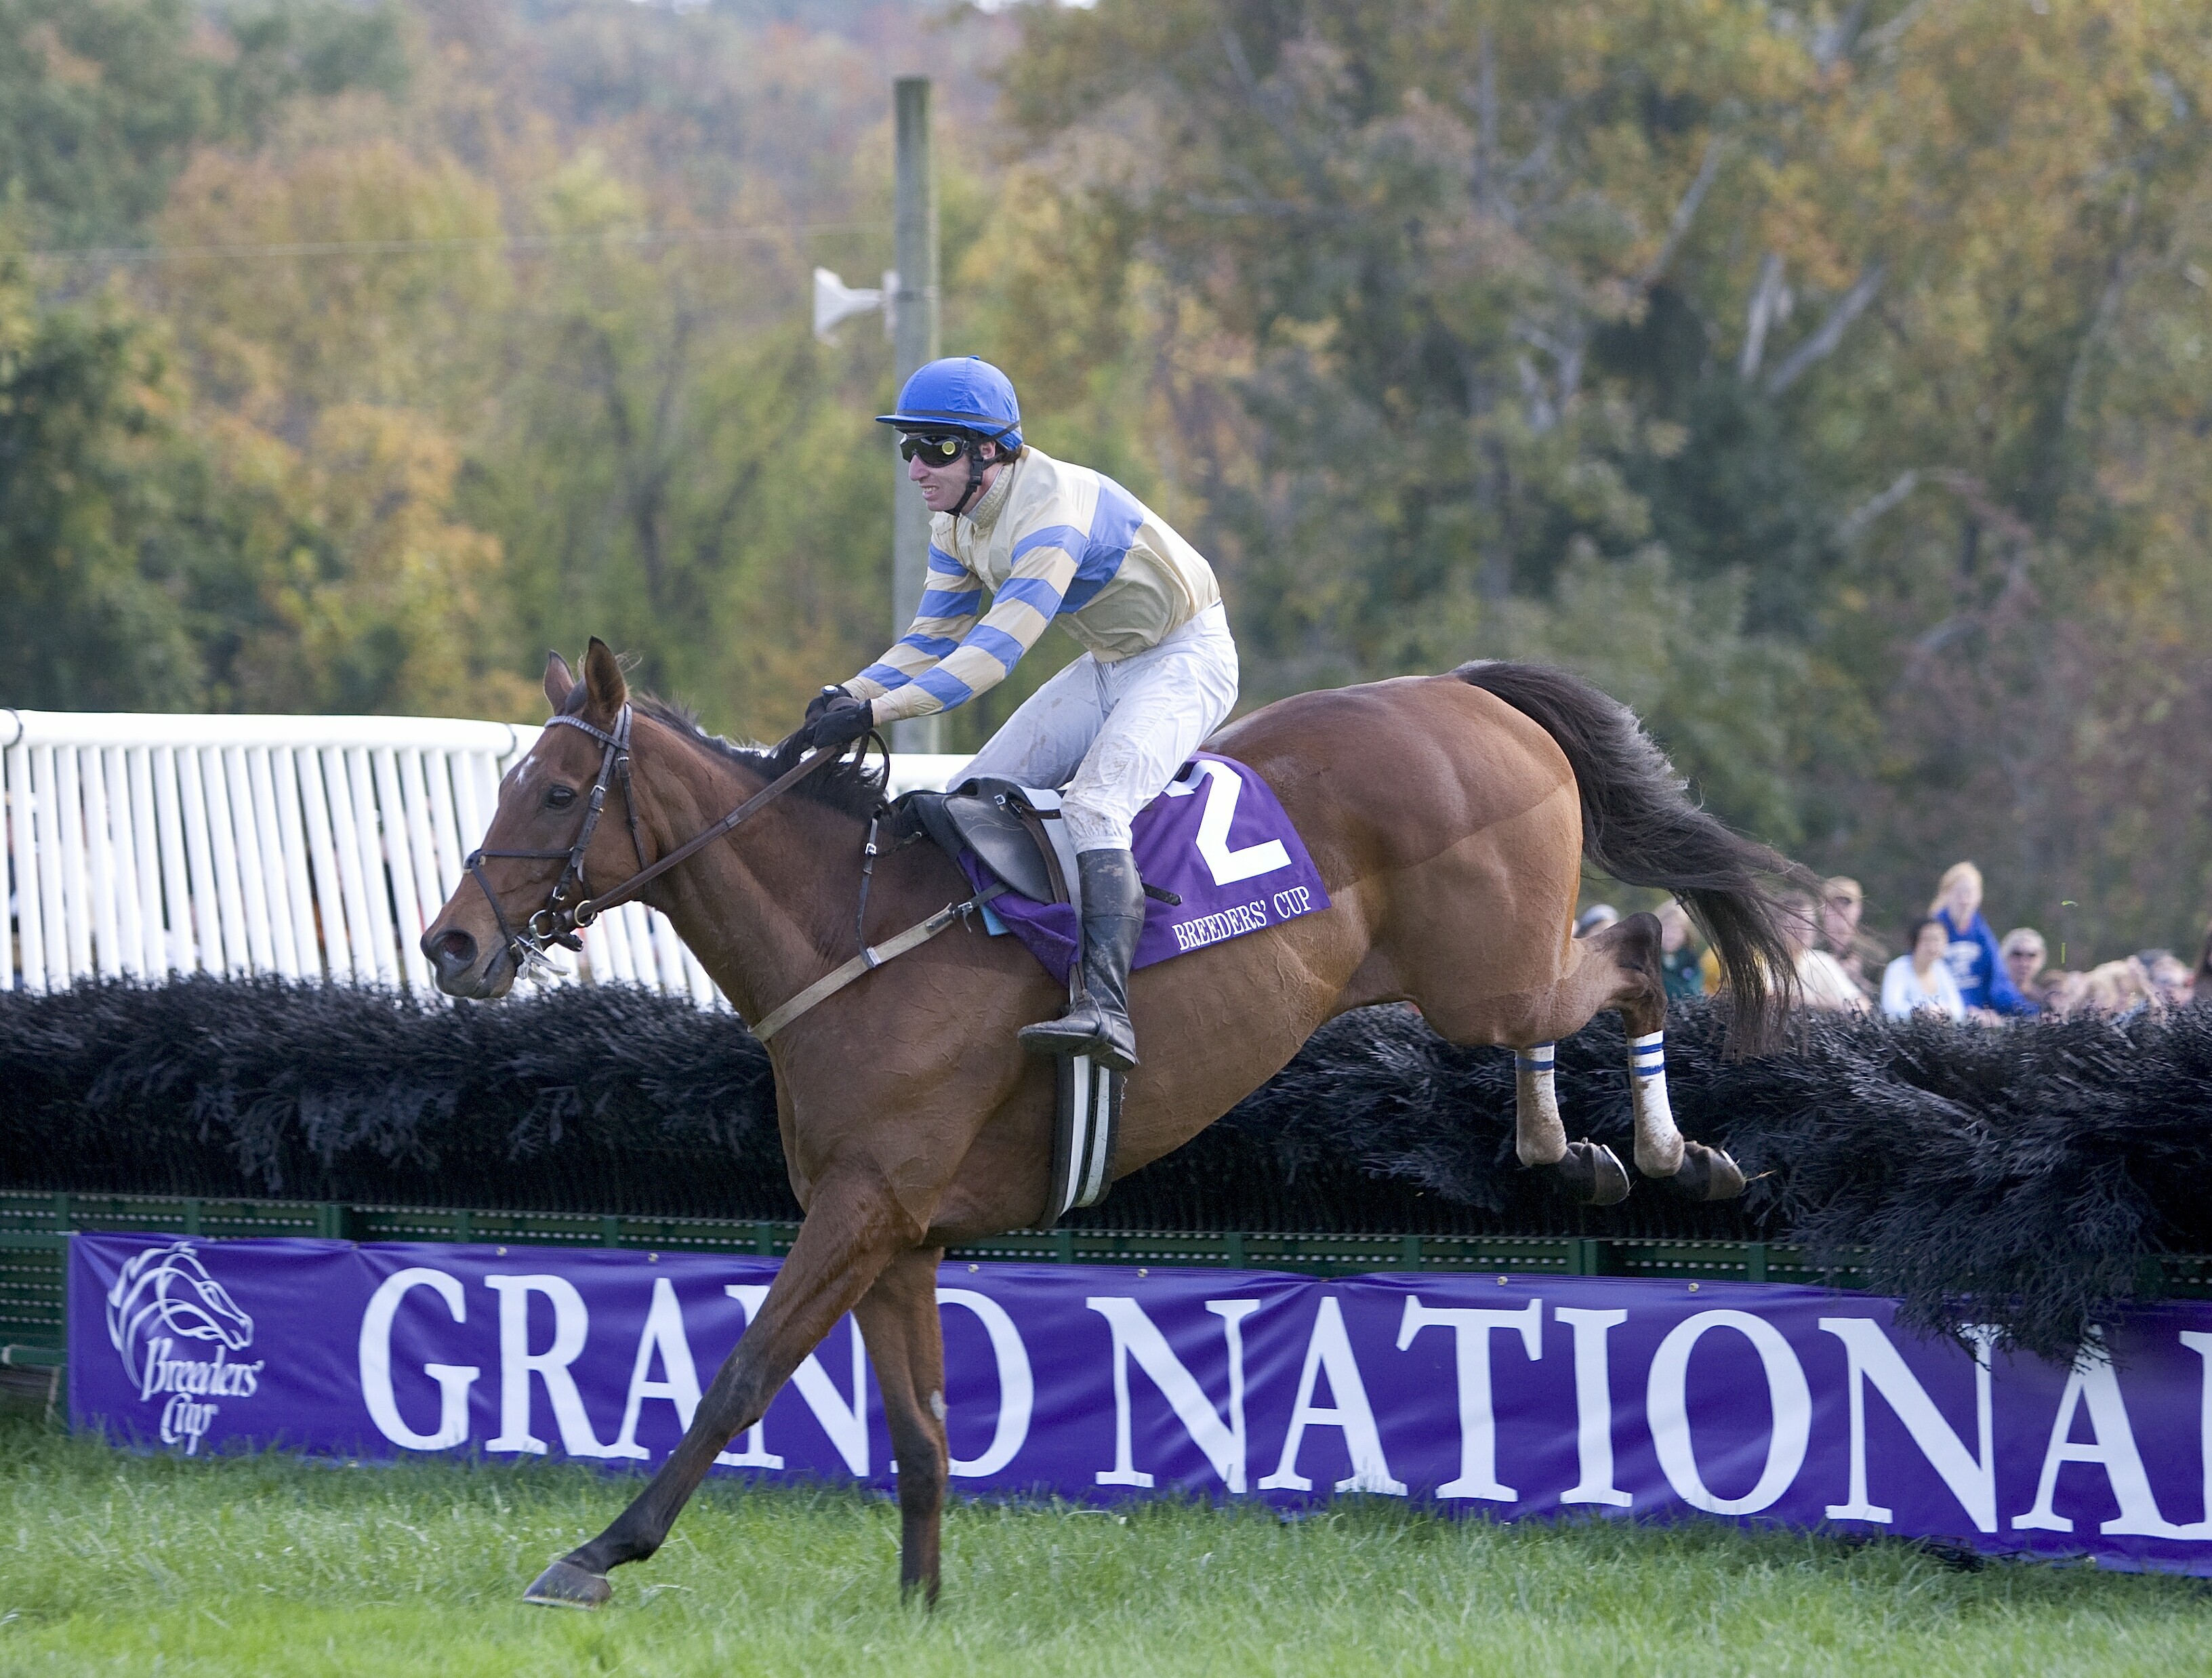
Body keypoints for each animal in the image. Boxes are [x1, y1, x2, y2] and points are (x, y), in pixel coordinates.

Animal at [417, 636, 1796, 1609]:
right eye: (508, 783)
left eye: (554, 792)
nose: (451, 945)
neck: (848, 938)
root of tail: (1471, 697)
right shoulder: (894, 1229)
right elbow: (919, 1432)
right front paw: (919, 1606)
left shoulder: (860, 1207)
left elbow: (740, 1377)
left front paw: (602, 1549)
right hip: (1486, 973)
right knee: (1585, 994)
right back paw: (1577, 1156)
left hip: (1484, 970)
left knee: (1635, 948)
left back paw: (1676, 1154)